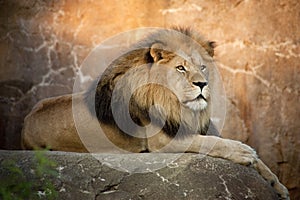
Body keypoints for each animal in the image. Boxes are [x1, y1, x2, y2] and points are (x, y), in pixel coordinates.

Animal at [21, 27, 288, 199]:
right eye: (180, 68)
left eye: (202, 67)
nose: (202, 84)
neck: (181, 106)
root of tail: (26, 119)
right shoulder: (162, 142)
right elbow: (211, 143)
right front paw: (244, 152)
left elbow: (258, 162)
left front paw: (277, 185)